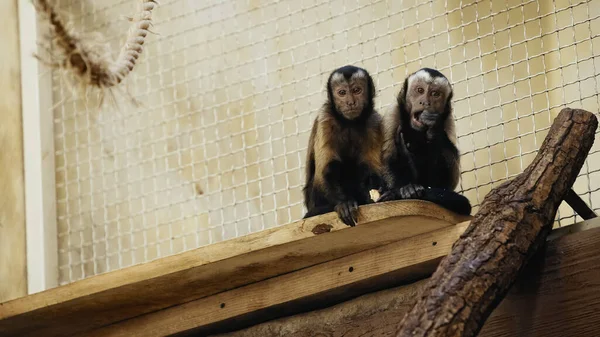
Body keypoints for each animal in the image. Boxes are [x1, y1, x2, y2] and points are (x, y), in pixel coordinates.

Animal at [300, 64, 384, 226]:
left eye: (357, 90)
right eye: (342, 93)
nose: (350, 102)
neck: (349, 123)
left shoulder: (374, 122)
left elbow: (371, 167)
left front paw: (372, 196)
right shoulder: (325, 118)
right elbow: (326, 168)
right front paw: (344, 203)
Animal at [380, 67, 474, 215]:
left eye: (435, 94)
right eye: (420, 90)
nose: (425, 102)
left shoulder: (448, 119)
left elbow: (451, 180)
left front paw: (434, 128)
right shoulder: (392, 113)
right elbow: (388, 159)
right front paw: (401, 190)